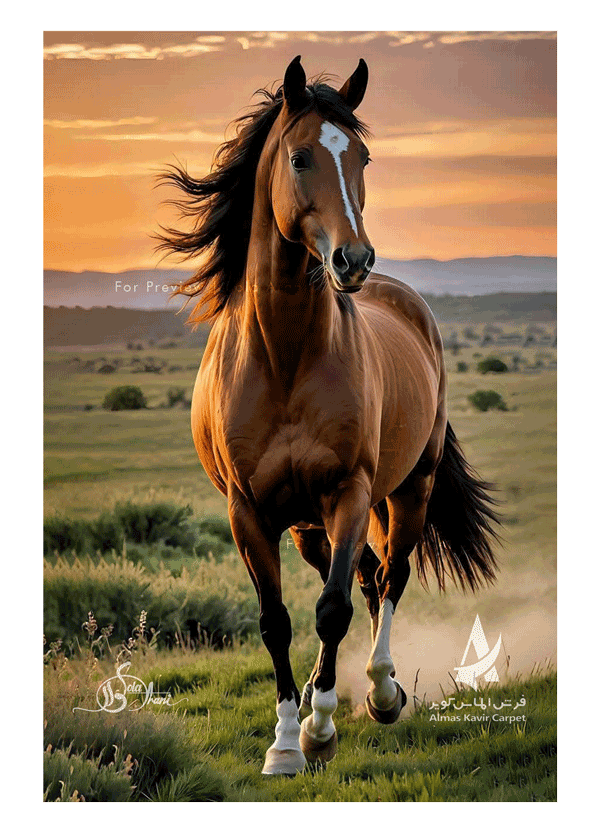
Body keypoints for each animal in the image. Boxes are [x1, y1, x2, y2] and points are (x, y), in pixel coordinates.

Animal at [156, 56, 499, 776]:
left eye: (363, 156)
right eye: (299, 156)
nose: (354, 260)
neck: (286, 355)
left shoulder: (350, 491)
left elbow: (333, 608)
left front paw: (318, 727)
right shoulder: (250, 512)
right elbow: (277, 619)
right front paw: (288, 740)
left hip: (408, 488)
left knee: (388, 576)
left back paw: (382, 691)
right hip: (306, 526)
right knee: (367, 576)